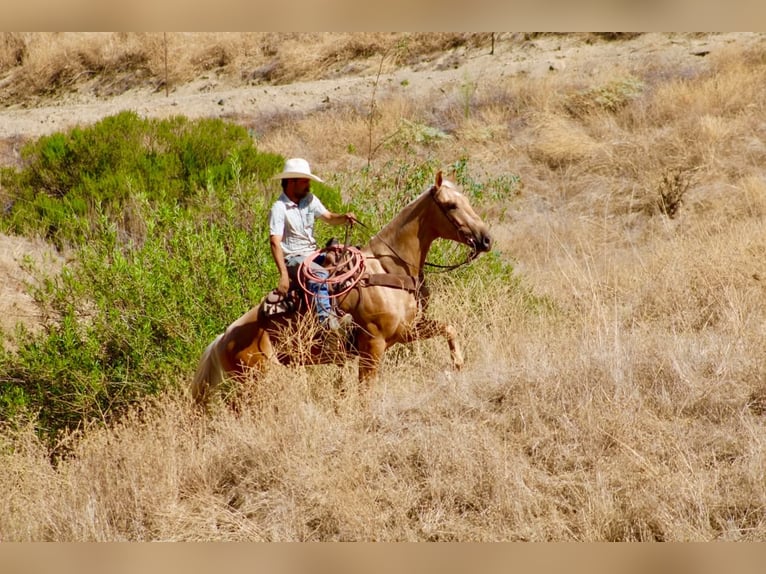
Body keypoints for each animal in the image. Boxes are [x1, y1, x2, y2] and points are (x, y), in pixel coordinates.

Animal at [190, 171, 492, 406]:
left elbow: (448, 328)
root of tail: (221, 339)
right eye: (451, 205)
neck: (387, 269)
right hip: (256, 381)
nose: (486, 239)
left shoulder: (406, 331)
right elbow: (365, 391)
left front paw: (458, 363)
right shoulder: (373, 345)